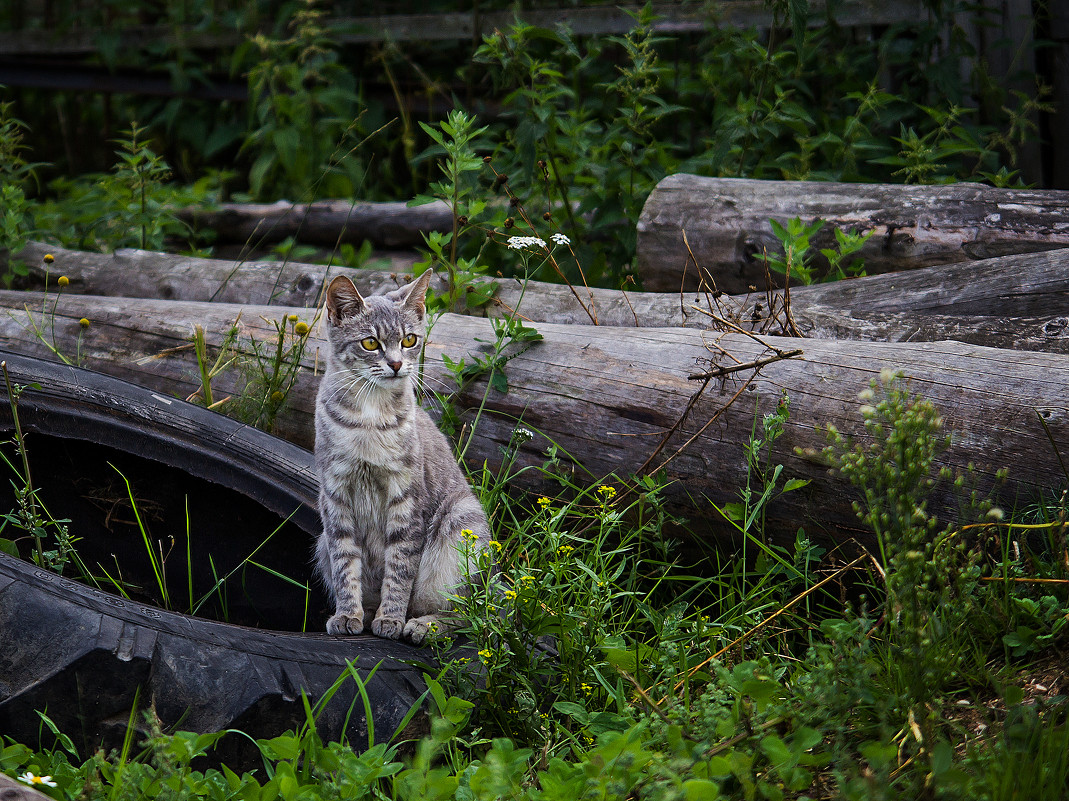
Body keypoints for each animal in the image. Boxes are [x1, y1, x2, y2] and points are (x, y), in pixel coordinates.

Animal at [312, 271, 489, 641]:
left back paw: (425, 624)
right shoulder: (335, 497)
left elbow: (400, 566)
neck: (369, 415)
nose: (395, 364)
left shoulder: (406, 496)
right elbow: (345, 563)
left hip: (461, 522)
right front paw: (348, 614)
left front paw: (391, 618)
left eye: (409, 340)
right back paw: (367, 612)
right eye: (370, 343)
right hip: (320, 542)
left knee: (471, 613)